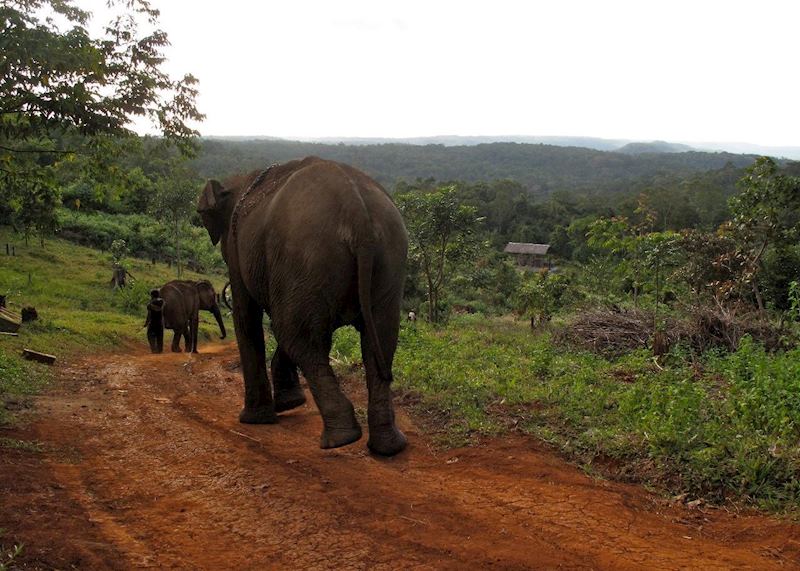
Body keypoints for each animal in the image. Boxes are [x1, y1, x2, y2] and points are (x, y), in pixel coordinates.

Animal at [197, 156, 408, 456]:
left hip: (305, 257)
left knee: (298, 337)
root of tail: (358, 215)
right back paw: (388, 446)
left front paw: (256, 419)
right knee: (379, 338)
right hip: (386, 258)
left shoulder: (237, 246)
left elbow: (247, 314)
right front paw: (289, 404)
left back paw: (341, 439)